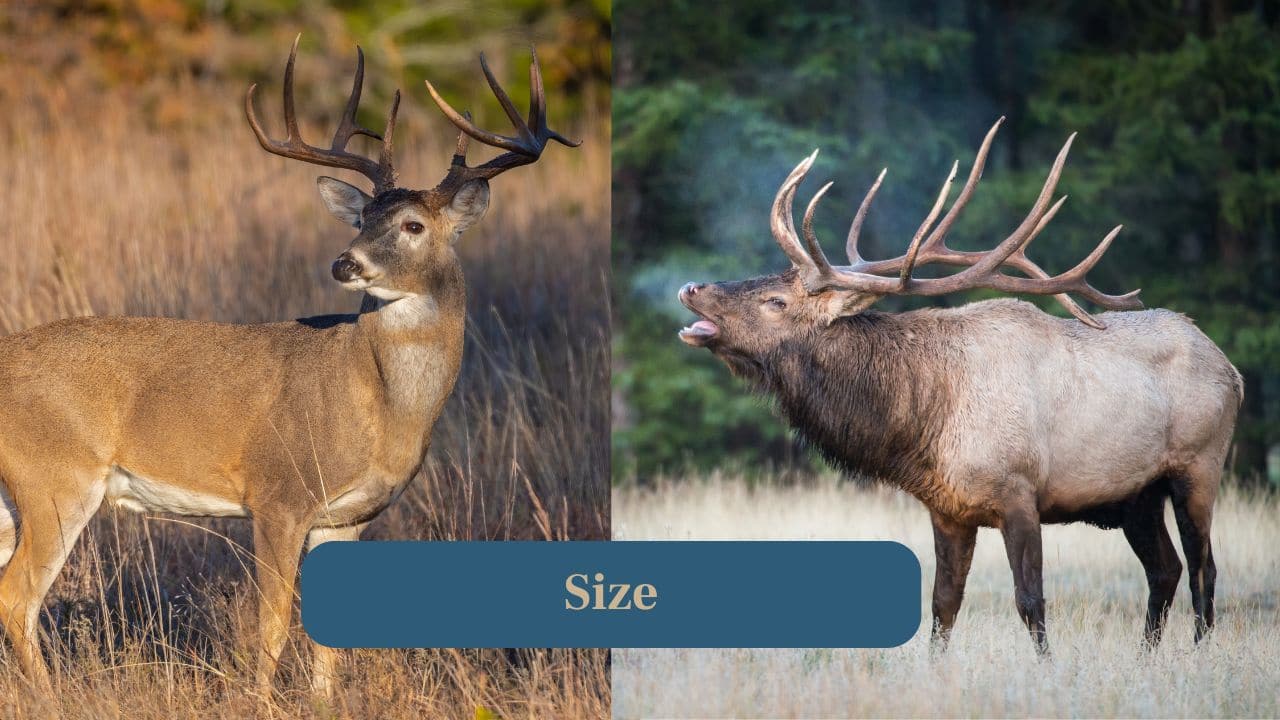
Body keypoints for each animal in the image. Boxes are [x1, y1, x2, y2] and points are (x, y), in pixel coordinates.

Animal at [0, 36, 577, 695]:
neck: (376, 403)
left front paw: (325, 700)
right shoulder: (278, 492)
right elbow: (273, 620)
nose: (345, 263)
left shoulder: (348, 516)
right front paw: (262, 700)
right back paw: (49, 696)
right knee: (18, 596)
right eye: (361, 219)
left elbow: (330, 628)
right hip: (55, 476)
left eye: (413, 225)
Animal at [678, 118, 1242, 655]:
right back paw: (1147, 656)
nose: (690, 287)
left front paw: (1047, 667)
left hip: (1198, 466)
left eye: (775, 300)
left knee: (1203, 569)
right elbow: (943, 604)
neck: (925, 422)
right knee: (1165, 569)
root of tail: (1231, 370)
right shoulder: (948, 509)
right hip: (1136, 496)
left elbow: (1030, 600)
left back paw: (1198, 654)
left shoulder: (1019, 490)